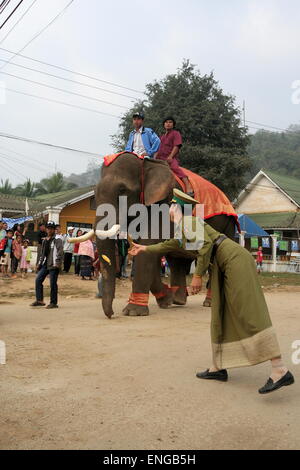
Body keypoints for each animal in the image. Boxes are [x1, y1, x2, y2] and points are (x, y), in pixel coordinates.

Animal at [72, 152, 237, 318]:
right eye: (95, 193)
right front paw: (166, 300)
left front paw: (133, 312)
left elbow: (148, 247)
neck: (146, 163)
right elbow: (151, 250)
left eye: (122, 190)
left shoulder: (165, 203)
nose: (111, 315)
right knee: (176, 260)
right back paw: (178, 300)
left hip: (228, 225)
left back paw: (208, 303)